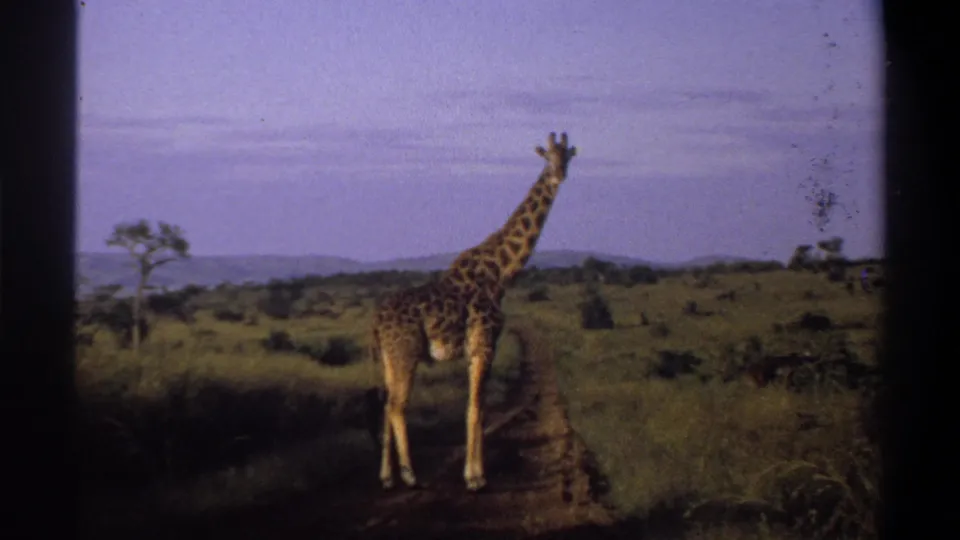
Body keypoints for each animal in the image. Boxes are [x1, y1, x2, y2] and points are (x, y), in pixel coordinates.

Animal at [368, 132, 577, 492]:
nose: (558, 176)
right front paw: (476, 477)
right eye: (547, 157)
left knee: (385, 404)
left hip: (388, 358)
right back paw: (409, 475)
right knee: (396, 405)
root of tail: (377, 322)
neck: (501, 273)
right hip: (405, 353)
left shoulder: (477, 348)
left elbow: (478, 406)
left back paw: (386, 477)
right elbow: (476, 408)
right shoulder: (484, 342)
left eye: (567, 158)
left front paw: (475, 472)